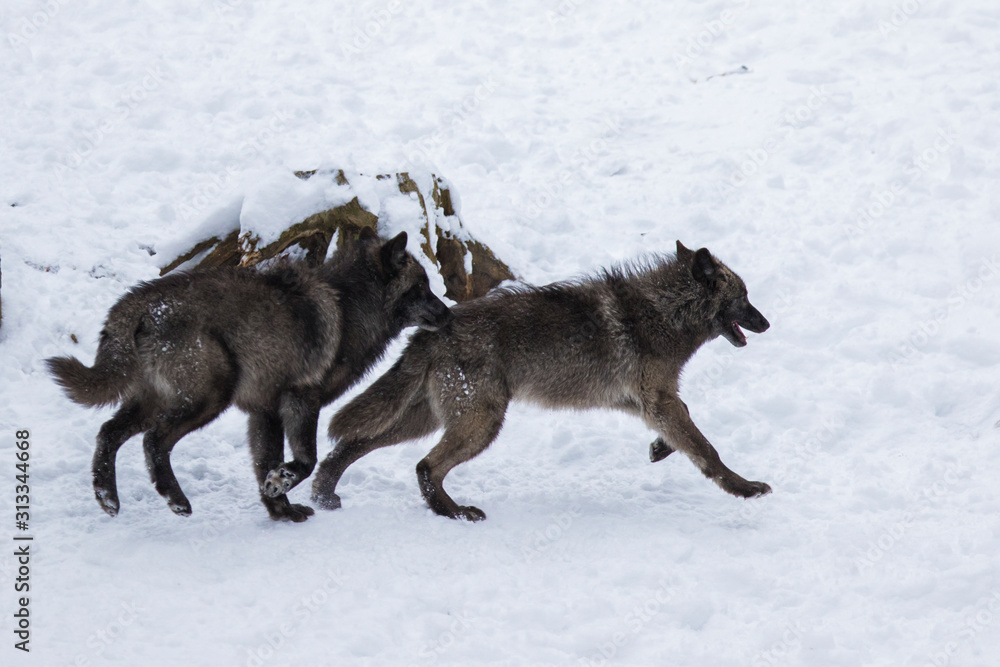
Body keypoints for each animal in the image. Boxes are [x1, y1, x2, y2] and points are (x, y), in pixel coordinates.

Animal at [46, 230, 451, 522]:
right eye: (421, 288)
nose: (448, 313)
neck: (351, 306)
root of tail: (140, 301)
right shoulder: (301, 399)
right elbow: (305, 462)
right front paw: (279, 488)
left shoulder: (264, 411)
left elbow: (265, 464)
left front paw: (281, 510)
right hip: (210, 396)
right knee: (153, 440)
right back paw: (175, 499)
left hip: (156, 400)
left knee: (108, 432)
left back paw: (107, 498)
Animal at [311, 241, 770, 521]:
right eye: (745, 297)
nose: (766, 323)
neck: (664, 313)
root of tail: (433, 329)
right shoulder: (657, 399)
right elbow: (706, 449)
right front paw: (745, 489)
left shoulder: (641, 400)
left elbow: (685, 428)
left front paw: (660, 448)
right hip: (480, 423)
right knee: (425, 466)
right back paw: (456, 513)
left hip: (428, 419)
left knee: (352, 443)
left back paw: (323, 494)